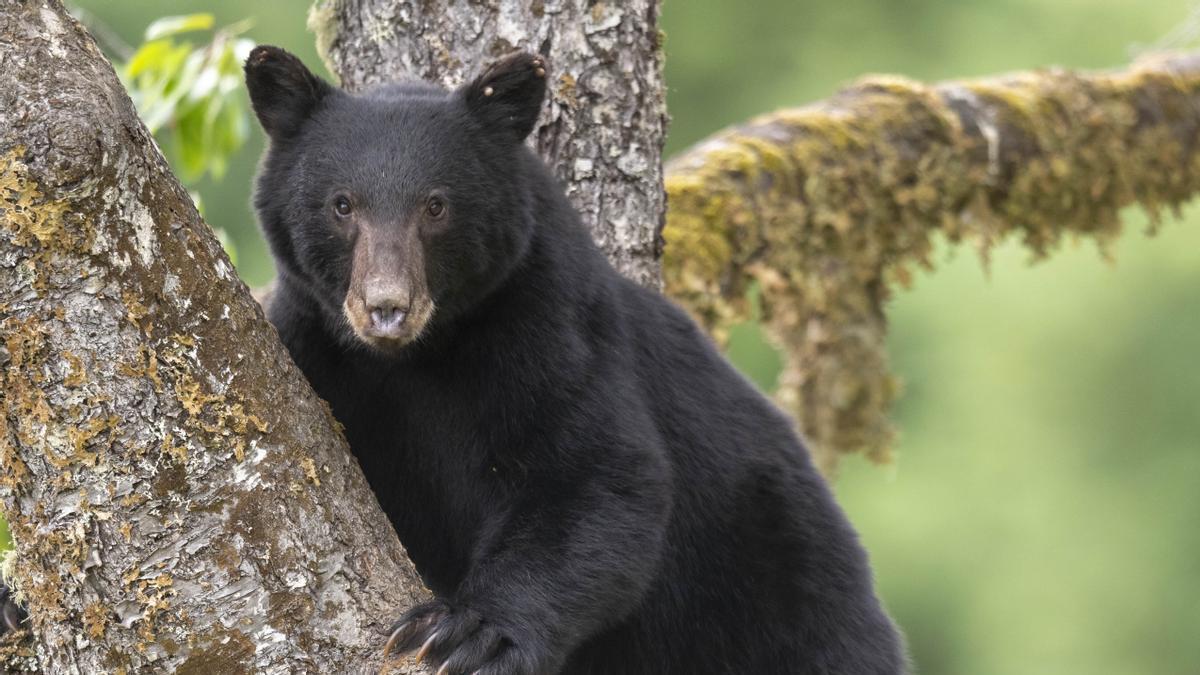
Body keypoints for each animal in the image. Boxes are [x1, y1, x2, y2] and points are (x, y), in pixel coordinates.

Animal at [243, 45, 906, 675]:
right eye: (341, 204)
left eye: (435, 206)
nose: (386, 308)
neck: (419, 358)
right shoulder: (315, 349)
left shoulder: (552, 328)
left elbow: (596, 477)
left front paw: (472, 632)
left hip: (783, 589)